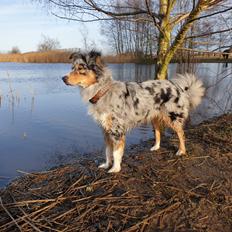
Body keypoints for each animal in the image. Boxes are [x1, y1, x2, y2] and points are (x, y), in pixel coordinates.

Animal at [62, 51, 205, 174]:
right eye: (72, 68)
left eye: (81, 69)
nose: (63, 78)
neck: (102, 91)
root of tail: (177, 86)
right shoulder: (105, 130)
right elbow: (108, 151)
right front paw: (107, 164)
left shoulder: (117, 131)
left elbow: (116, 152)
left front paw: (115, 169)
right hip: (154, 117)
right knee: (158, 131)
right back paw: (156, 147)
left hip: (172, 117)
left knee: (181, 134)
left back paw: (181, 151)